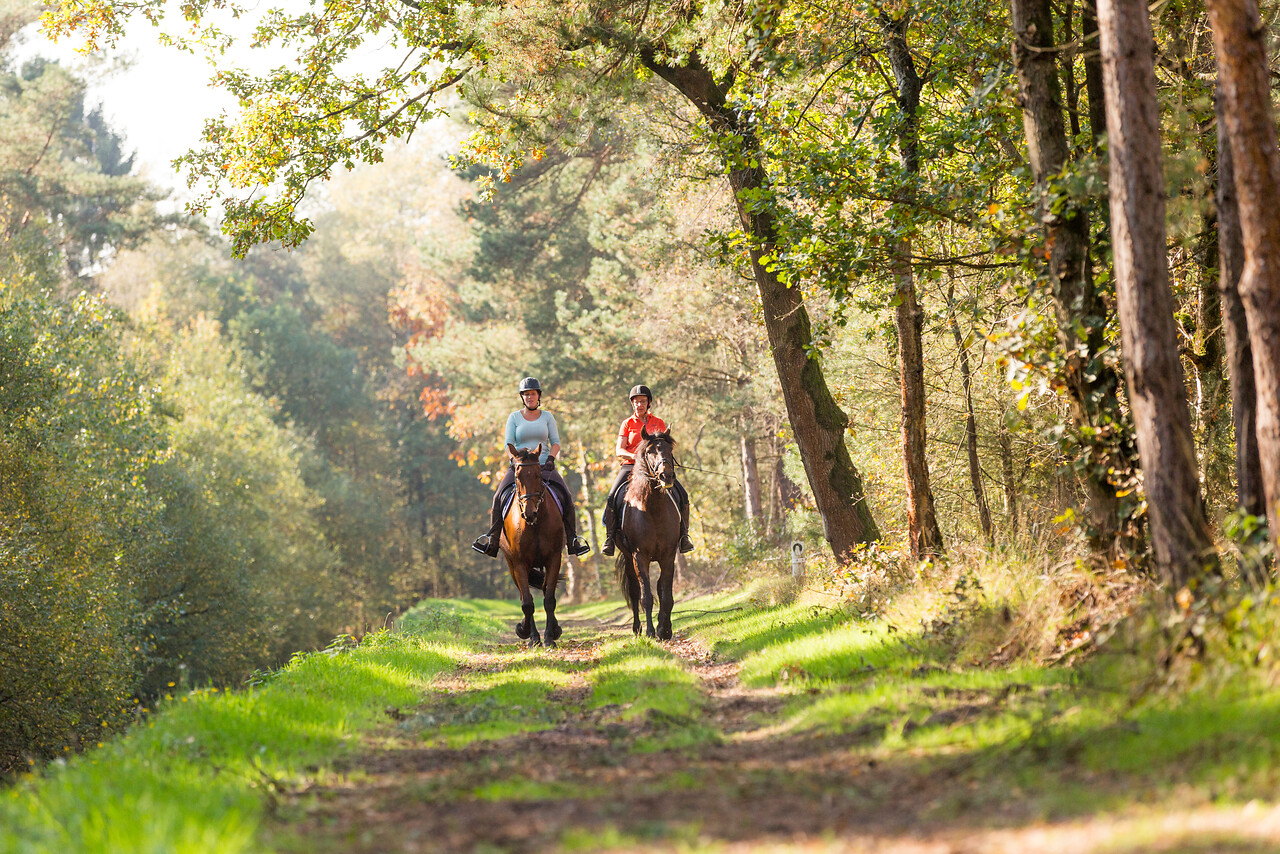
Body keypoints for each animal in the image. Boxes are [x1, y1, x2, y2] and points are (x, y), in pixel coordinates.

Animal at [496, 448, 563, 647]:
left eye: (538, 475)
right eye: (518, 476)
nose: (529, 513)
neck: (535, 524)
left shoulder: (554, 558)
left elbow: (549, 599)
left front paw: (550, 637)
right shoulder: (519, 563)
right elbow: (527, 602)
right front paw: (528, 634)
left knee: (545, 589)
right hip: (511, 565)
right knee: (523, 596)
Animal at [616, 430, 686, 637]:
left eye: (670, 449)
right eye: (649, 451)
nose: (666, 475)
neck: (653, 508)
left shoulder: (668, 555)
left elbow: (666, 594)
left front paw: (665, 630)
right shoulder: (640, 556)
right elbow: (645, 596)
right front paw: (650, 631)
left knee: (660, 587)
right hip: (628, 557)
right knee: (634, 591)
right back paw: (637, 628)